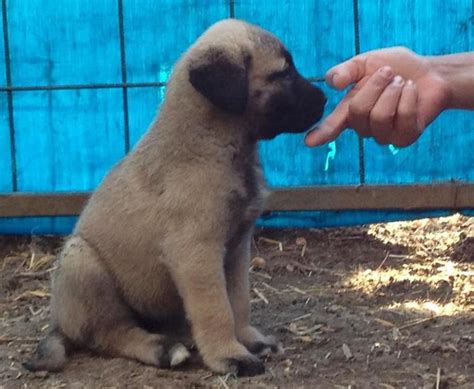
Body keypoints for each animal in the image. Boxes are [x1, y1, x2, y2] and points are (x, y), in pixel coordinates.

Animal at [24, 19, 324, 376]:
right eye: (283, 73)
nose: (324, 99)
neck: (213, 143)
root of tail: (58, 324)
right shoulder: (196, 253)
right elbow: (216, 309)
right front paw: (229, 354)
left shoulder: (236, 249)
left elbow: (238, 301)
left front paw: (247, 339)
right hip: (81, 260)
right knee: (111, 332)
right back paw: (162, 348)